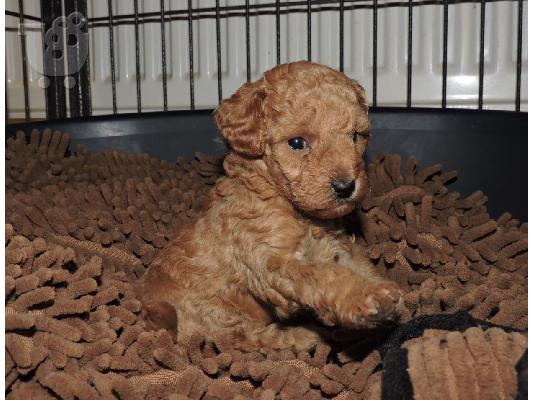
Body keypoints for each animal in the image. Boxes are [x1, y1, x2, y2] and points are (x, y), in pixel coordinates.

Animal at [140, 61, 404, 352]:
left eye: (355, 136)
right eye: (297, 142)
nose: (346, 187)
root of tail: (153, 313)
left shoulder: (336, 246)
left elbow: (357, 264)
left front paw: (385, 292)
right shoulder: (271, 261)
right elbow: (322, 275)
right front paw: (367, 296)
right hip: (217, 315)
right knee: (251, 338)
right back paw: (307, 336)